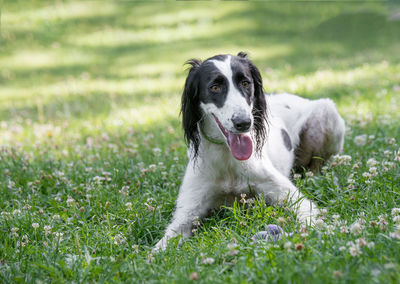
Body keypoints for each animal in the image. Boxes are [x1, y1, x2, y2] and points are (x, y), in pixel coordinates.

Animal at [155, 52, 346, 251]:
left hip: (326, 112)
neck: (227, 156)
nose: (244, 123)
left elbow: (310, 215)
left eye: (245, 83)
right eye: (215, 87)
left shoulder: (290, 195)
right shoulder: (188, 211)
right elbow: (163, 244)